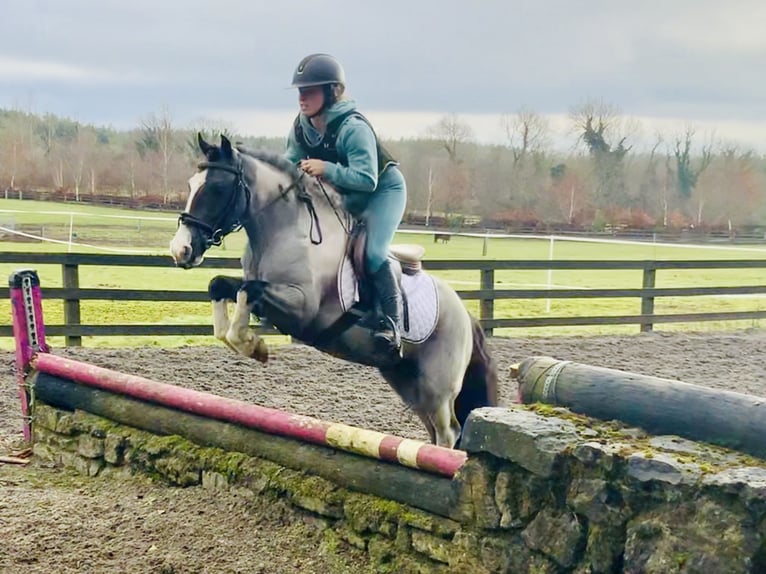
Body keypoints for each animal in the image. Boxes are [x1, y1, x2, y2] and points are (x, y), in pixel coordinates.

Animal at [171, 135, 500, 450]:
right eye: (189, 185)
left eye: (217, 188)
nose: (180, 250)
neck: (286, 230)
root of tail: (465, 314)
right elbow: (221, 286)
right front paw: (244, 341)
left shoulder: (302, 308)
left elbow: (247, 292)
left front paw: (254, 346)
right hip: (406, 380)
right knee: (435, 431)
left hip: (437, 387)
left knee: (448, 433)